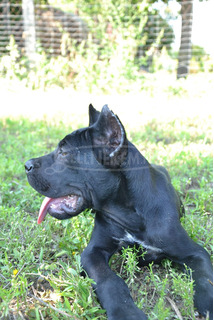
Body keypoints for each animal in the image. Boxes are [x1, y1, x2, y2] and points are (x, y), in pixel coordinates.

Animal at [25, 105, 212, 320]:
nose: (26, 165)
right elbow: (109, 280)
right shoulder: (93, 252)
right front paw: (126, 312)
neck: (129, 212)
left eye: (63, 152)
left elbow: (205, 277)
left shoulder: (194, 251)